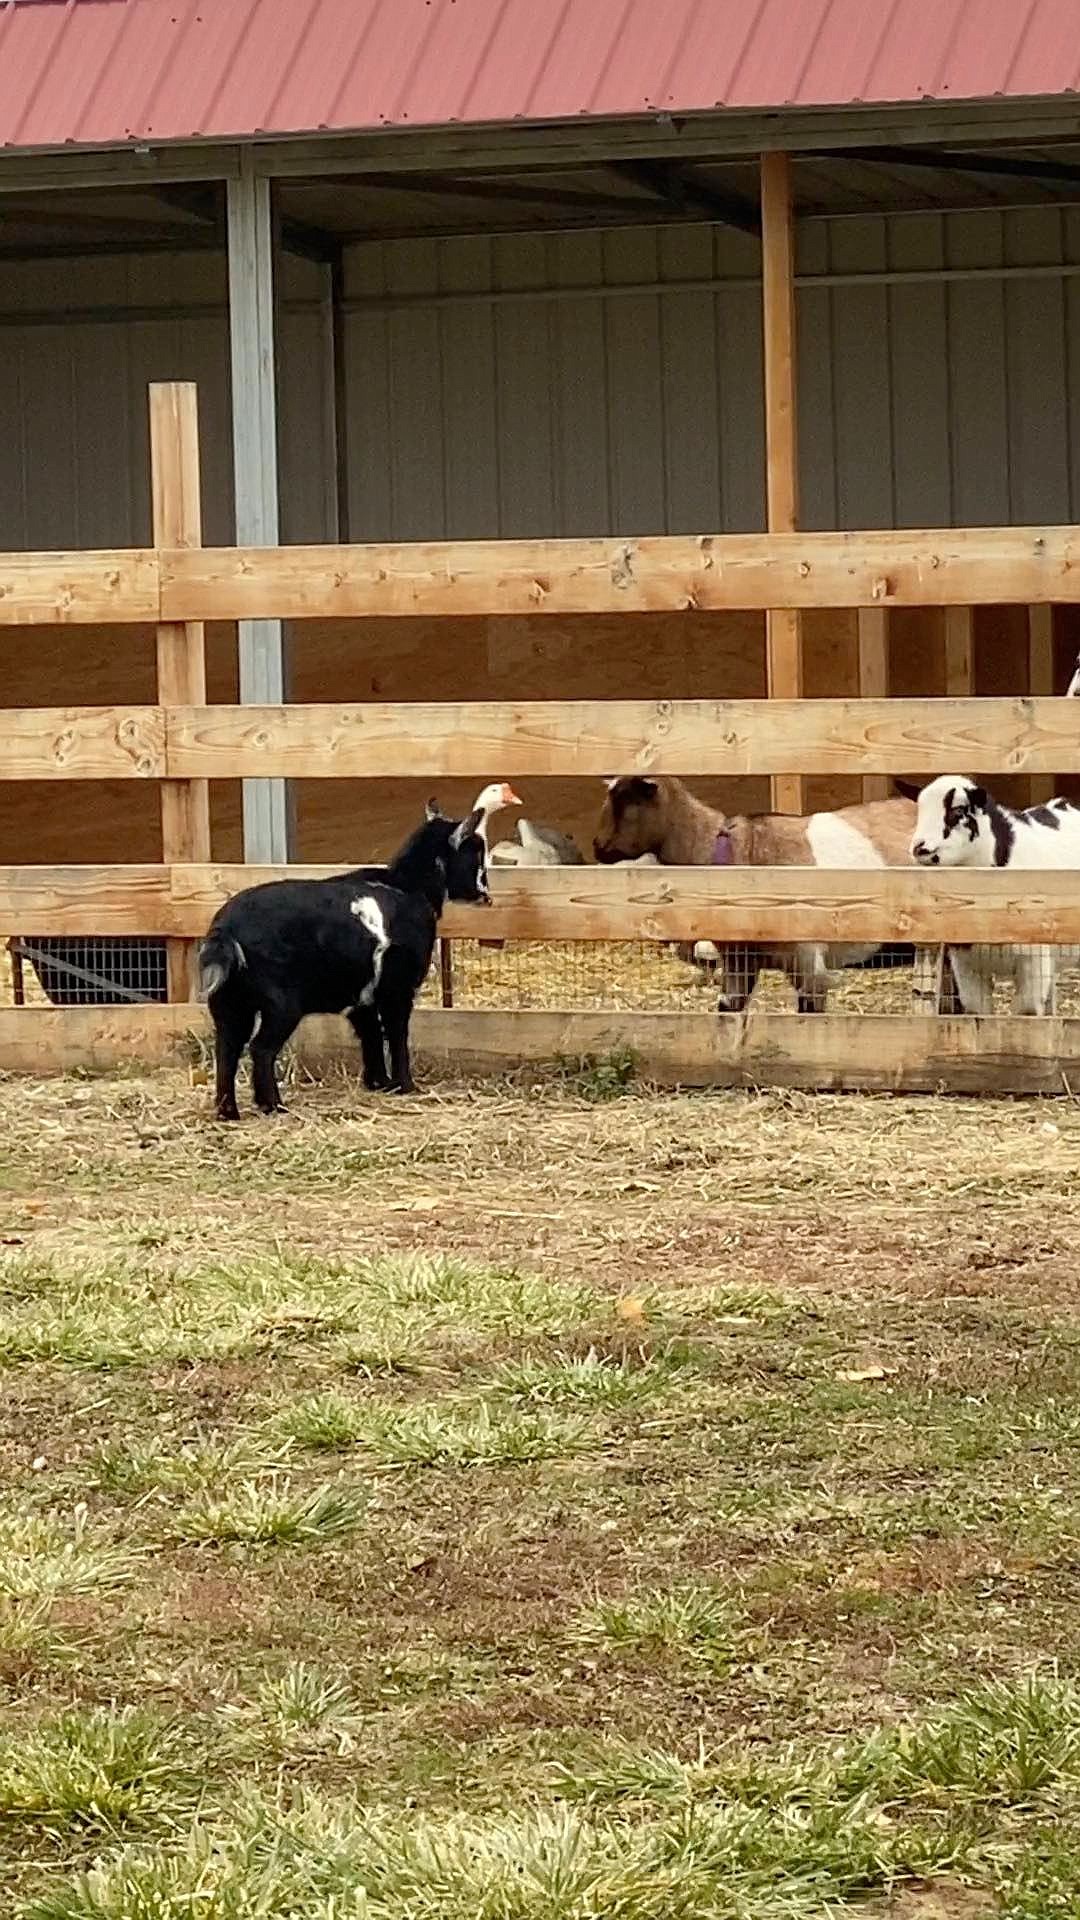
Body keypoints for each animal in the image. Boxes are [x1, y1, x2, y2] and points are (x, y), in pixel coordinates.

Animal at [197, 798, 488, 1121]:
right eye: (475, 854)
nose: (486, 894)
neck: (408, 888)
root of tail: (226, 930)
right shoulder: (397, 989)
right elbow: (396, 1035)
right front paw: (406, 1086)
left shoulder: (363, 996)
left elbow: (370, 1035)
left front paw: (379, 1083)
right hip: (280, 1004)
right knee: (260, 1049)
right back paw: (273, 1105)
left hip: (228, 1003)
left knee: (226, 1050)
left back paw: (229, 1112)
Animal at [907, 775, 1076, 1021]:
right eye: (919, 810)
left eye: (959, 810)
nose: (919, 848)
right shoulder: (966, 966)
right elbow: (977, 1014)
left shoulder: (1034, 963)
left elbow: (1026, 1014)